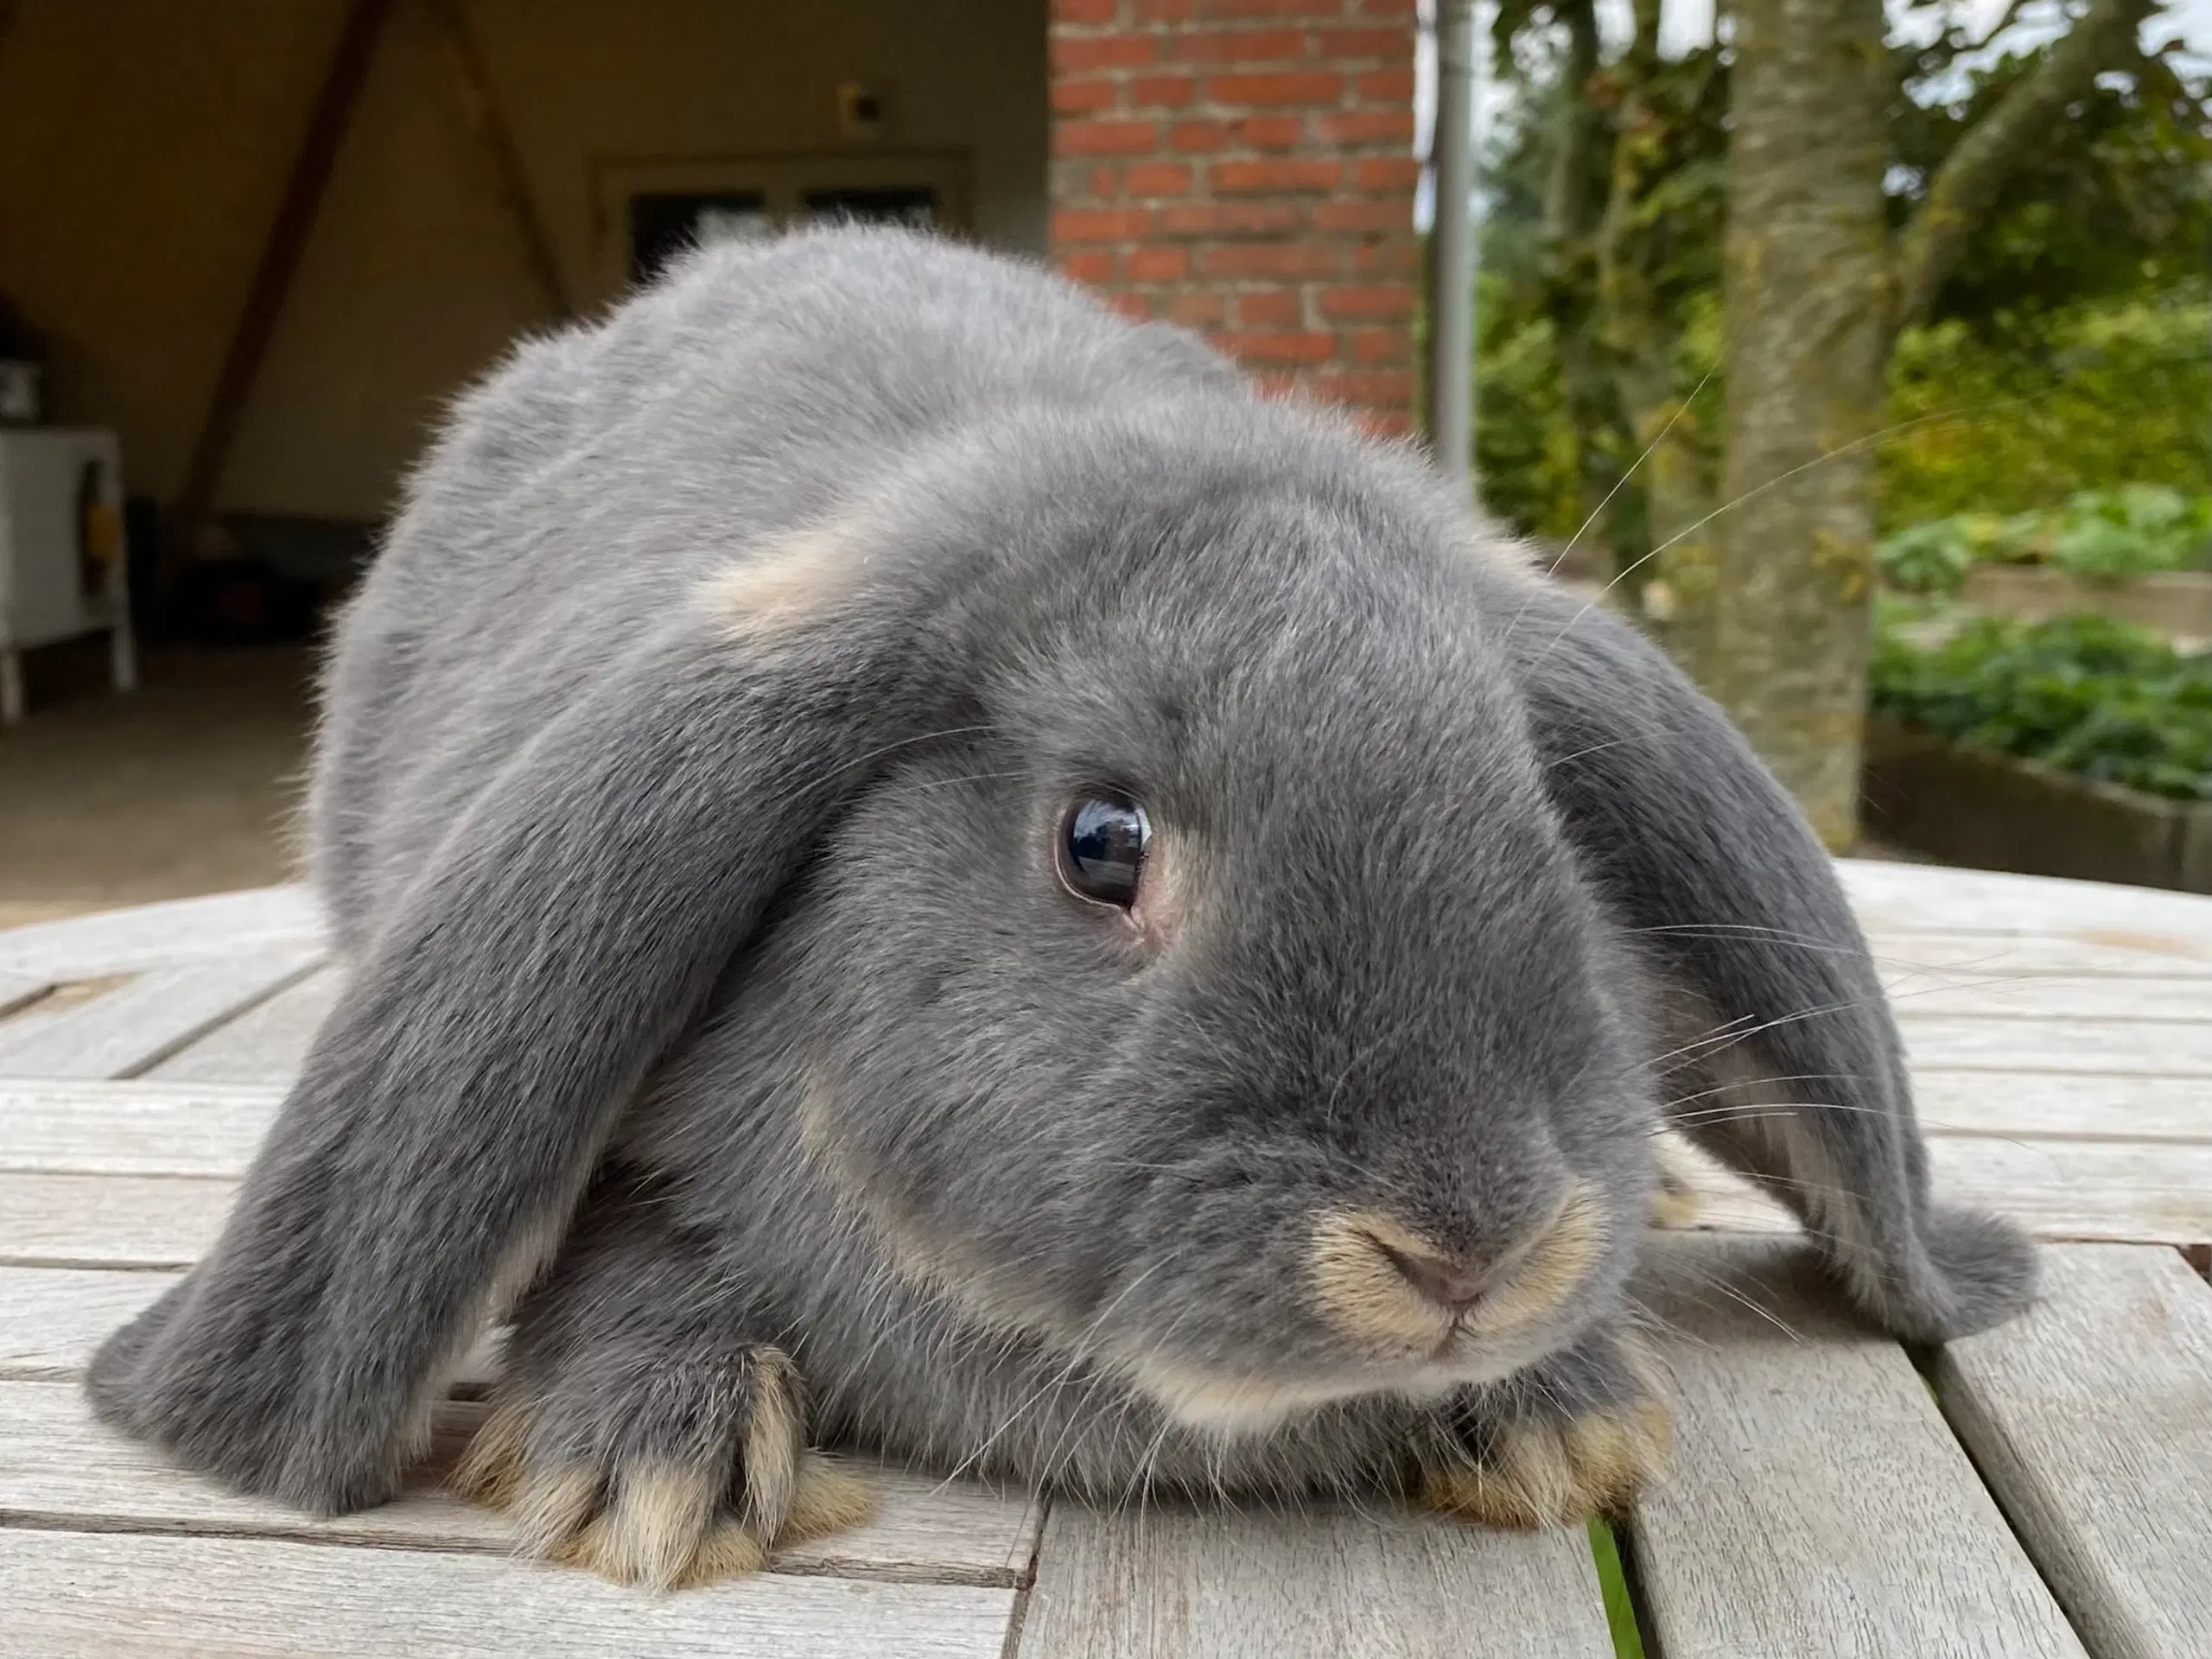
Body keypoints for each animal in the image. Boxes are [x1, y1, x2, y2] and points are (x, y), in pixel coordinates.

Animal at [86, 227, 2025, 1592]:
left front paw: (1562, 1411)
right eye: (1103, 842)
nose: (1472, 1255)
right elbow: (614, 1253)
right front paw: (652, 1459)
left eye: (1543, 813)